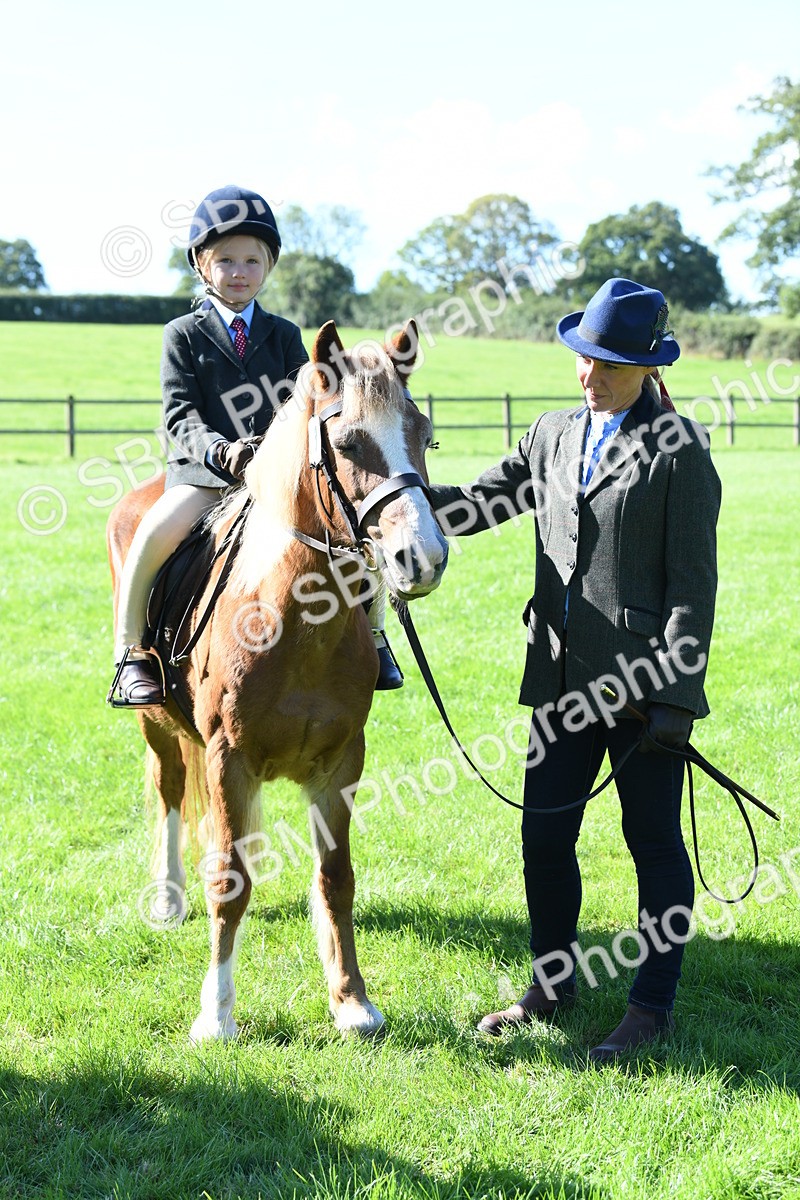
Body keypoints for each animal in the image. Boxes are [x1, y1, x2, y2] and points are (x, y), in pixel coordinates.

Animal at [106, 319, 449, 1042]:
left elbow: (337, 877)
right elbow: (228, 878)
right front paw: (216, 1015)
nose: (424, 558)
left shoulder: (341, 761)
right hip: (156, 724)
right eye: (347, 443)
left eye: (424, 434)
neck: (295, 623)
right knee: (170, 790)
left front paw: (352, 1002)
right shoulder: (229, 757)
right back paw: (169, 897)